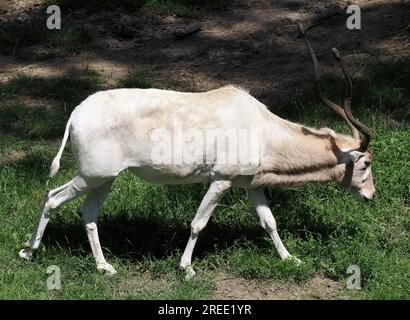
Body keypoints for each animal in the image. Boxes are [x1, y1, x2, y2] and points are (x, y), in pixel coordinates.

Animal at [21, 23, 374, 278]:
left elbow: (270, 221)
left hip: (105, 178)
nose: (370, 196)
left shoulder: (250, 183)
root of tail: (76, 113)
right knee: (52, 196)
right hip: (93, 175)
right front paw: (186, 267)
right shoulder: (221, 179)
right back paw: (29, 251)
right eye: (366, 163)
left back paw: (103, 267)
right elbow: (198, 223)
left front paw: (291, 259)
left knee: (88, 212)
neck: (260, 127)